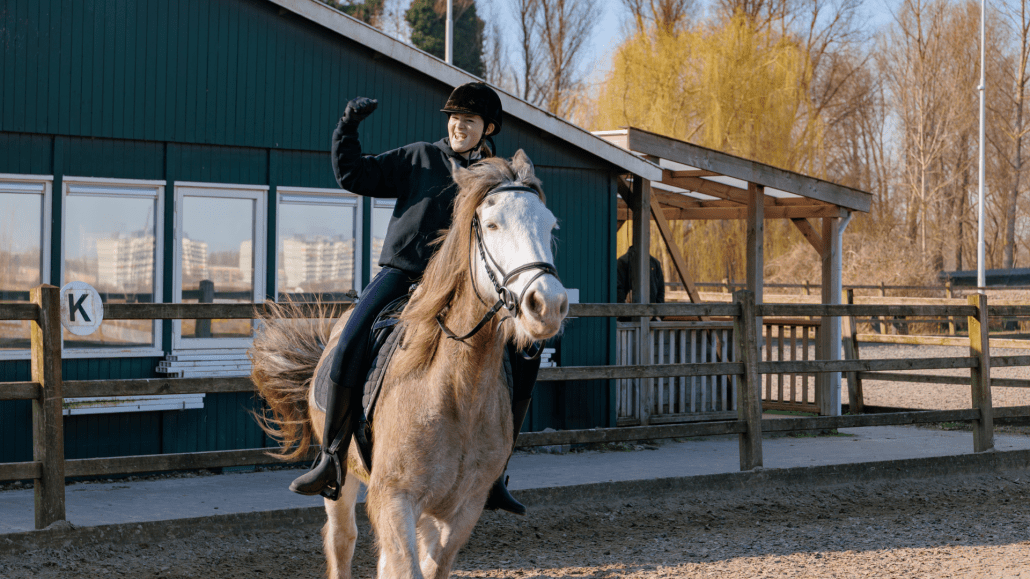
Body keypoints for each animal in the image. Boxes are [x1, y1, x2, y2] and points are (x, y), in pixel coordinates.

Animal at [249, 150, 569, 578]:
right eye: (491, 224)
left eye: (550, 226)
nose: (548, 305)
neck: (458, 391)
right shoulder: (394, 499)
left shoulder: (463, 510)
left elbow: (430, 567)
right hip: (342, 481)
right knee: (342, 541)